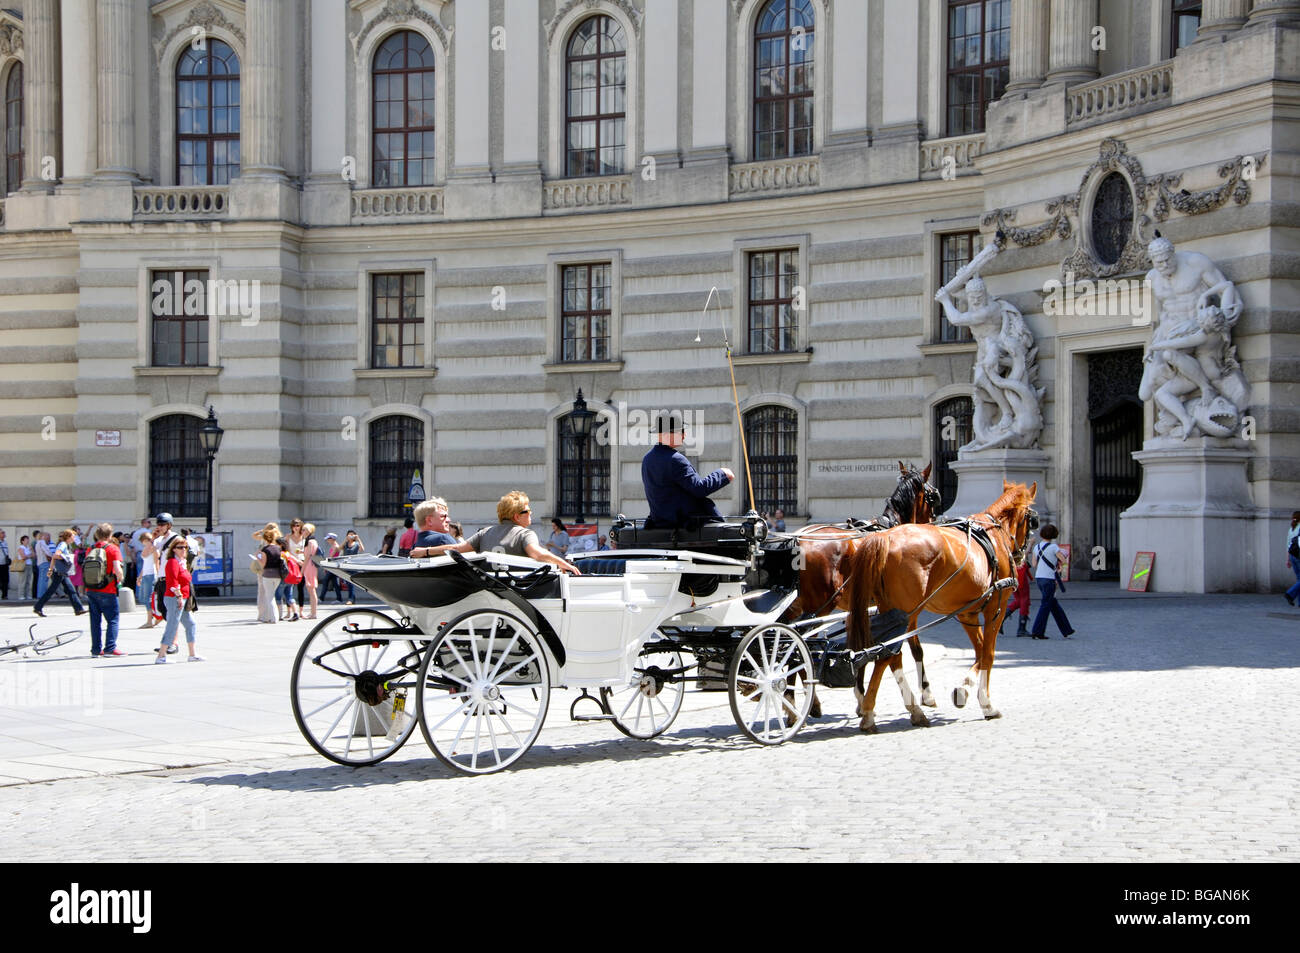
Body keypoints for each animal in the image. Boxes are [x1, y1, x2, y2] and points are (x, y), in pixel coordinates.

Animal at [847, 478, 1040, 733]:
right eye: (1031, 519)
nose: (1020, 557)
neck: (993, 535)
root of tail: (885, 538)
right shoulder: (995, 609)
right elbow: (988, 654)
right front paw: (986, 703)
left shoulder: (968, 613)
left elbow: (979, 652)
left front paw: (963, 690)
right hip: (905, 612)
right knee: (886, 656)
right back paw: (871, 711)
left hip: (892, 611)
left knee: (890, 655)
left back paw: (904, 709)